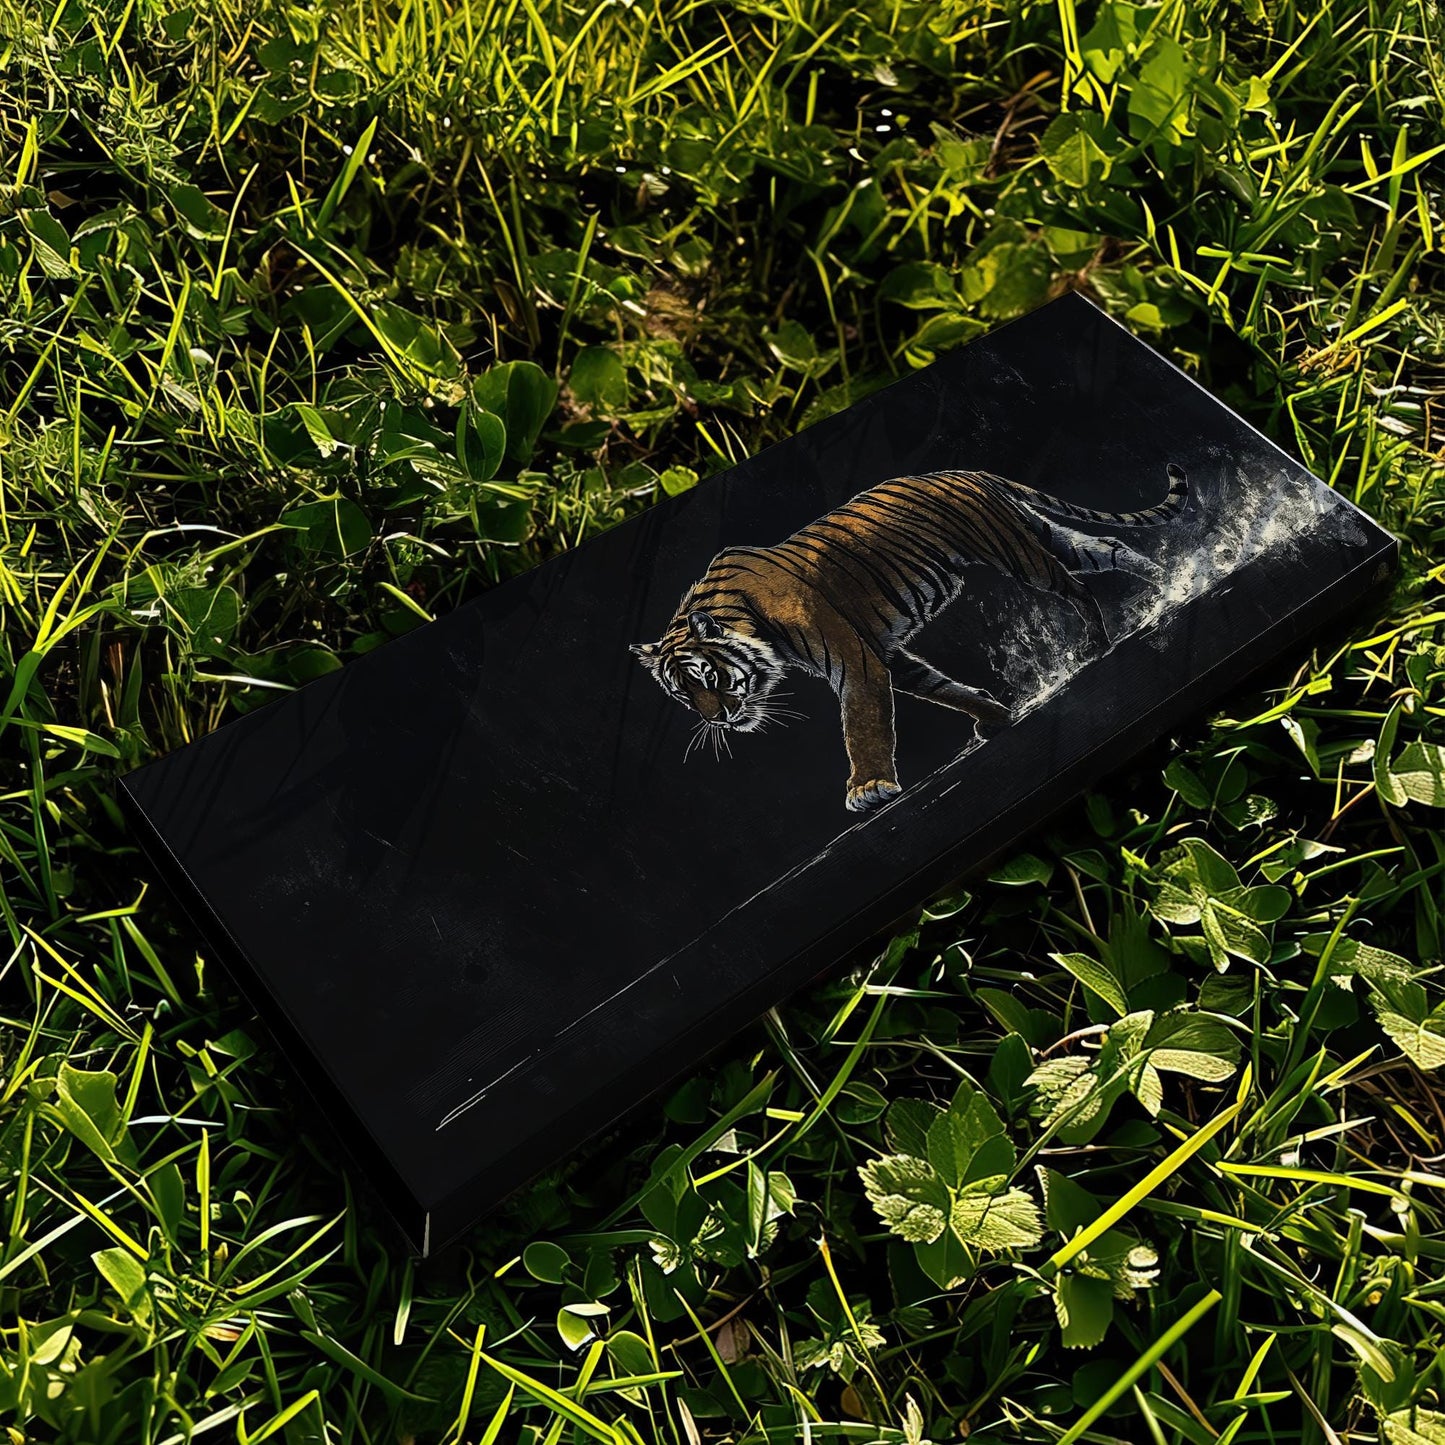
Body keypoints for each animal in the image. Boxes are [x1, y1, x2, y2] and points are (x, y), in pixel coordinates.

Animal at [631, 462, 1189, 813]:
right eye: (682, 694)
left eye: (708, 676)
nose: (718, 720)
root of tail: (963, 471)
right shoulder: (885, 653)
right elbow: (938, 687)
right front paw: (993, 717)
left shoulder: (855, 662)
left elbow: (862, 725)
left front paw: (868, 788)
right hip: (1040, 532)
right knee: (1108, 546)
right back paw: (1168, 581)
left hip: (1016, 552)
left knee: (1076, 586)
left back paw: (1097, 643)